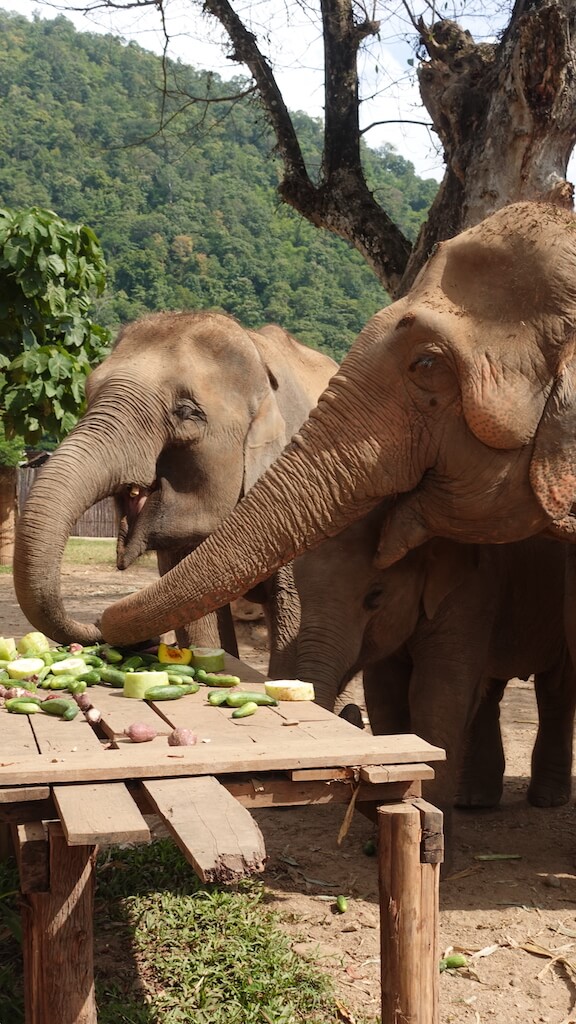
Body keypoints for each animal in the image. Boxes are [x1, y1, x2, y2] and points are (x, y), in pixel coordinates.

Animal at [12, 307, 336, 659]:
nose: (98, 623)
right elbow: (196, 616)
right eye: (87, 394)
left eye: (186, 411)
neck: (257, 353)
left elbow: (294, 610)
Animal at [286, 503, 573, 847]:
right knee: (489, 691)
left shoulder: (472, 591)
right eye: (300, 589)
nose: (350, 711)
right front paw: (381, 832)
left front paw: (433, 845)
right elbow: (385, 696)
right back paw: (473, 801)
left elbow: (438, 695)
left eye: (375, 596)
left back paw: (546, 799)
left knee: (555, 689)